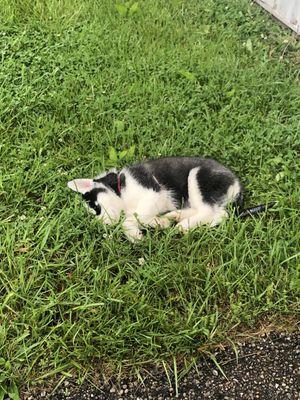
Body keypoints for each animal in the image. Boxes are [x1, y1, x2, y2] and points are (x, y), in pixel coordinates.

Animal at [67, 156, 274, 241]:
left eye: (96, 208)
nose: (102, 225)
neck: (119, 187)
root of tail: (237, 184)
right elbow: (138, 217)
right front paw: (157, 224)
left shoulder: (153, 192)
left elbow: (132, 217)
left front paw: (134, 233)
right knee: (215, 213)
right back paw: (174, 217)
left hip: (197, 177)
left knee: (215, 213)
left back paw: (184, 225)